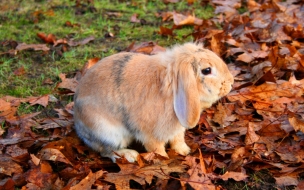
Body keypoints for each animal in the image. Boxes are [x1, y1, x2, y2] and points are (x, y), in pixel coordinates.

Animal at [72, 42, 234, 163]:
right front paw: (164, 159)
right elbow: (157, 149)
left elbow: (178, 140)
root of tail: (79, 128)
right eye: (207, 70)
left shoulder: (177, 129)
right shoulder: (150, 134)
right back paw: (130, 155)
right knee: (106, 151)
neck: (172, 91)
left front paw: (184, 151)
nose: (231, 82)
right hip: (108, 132)